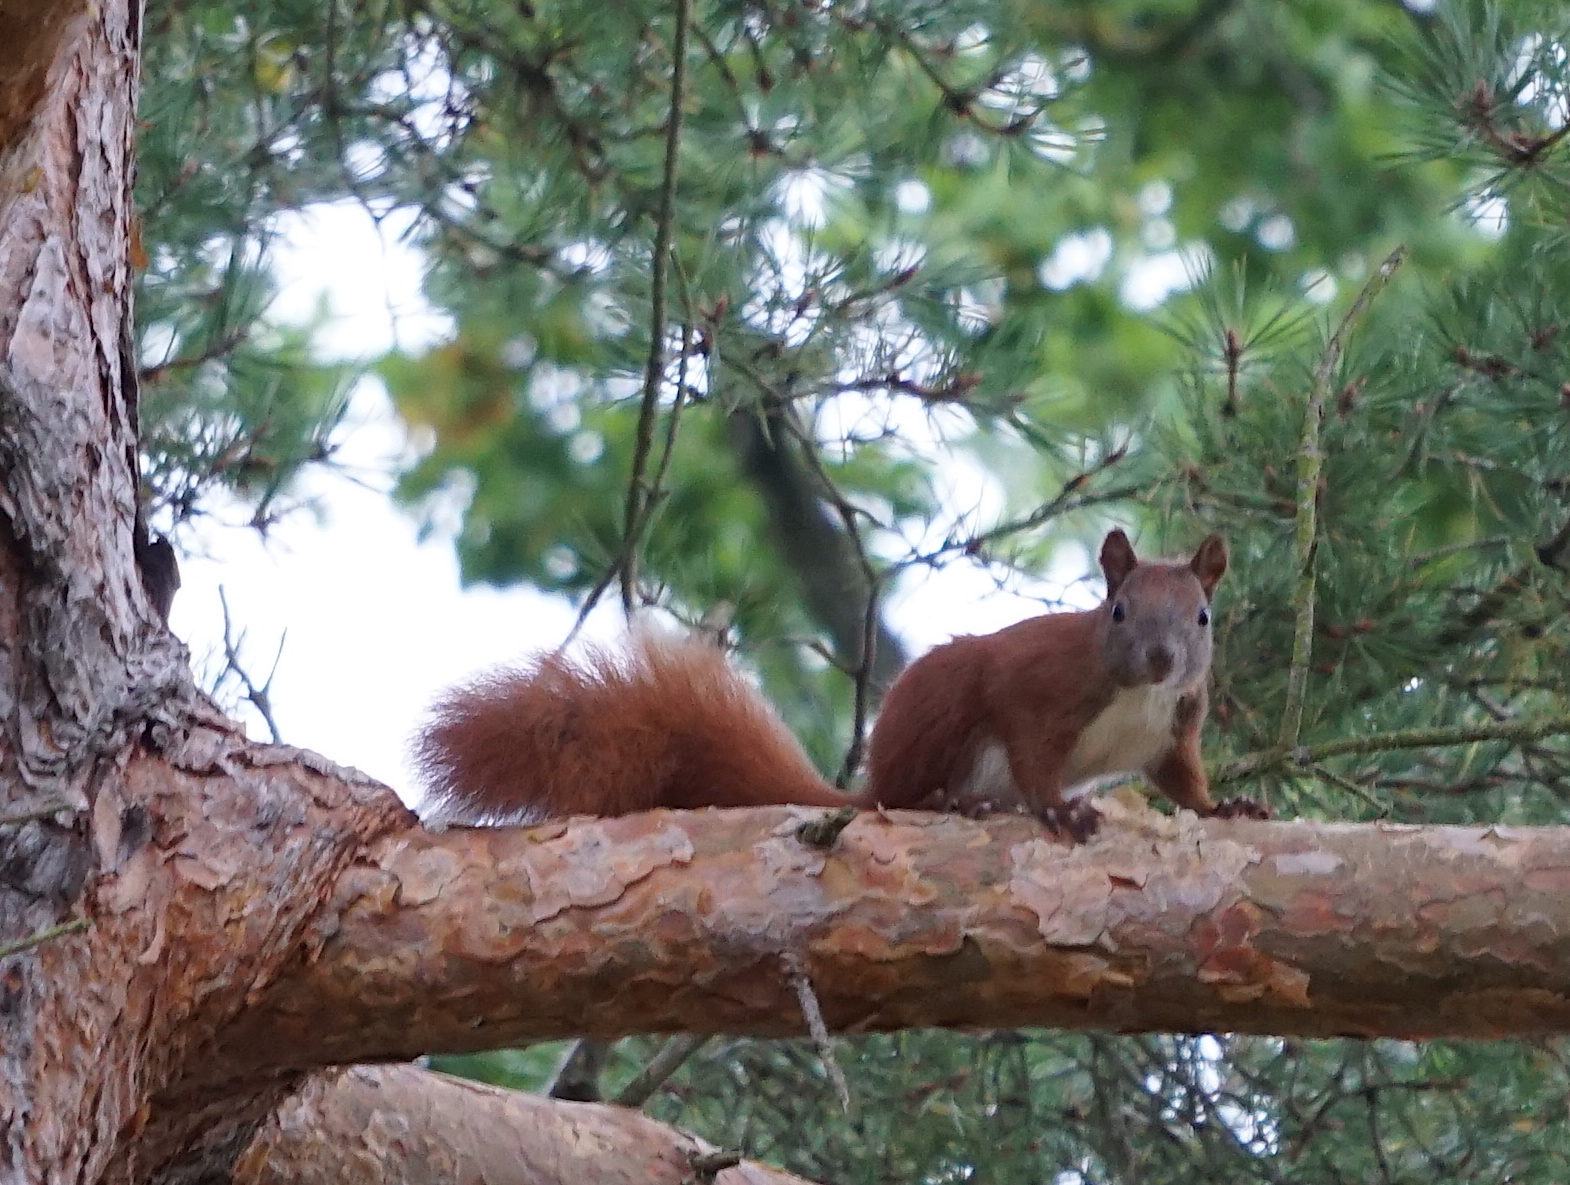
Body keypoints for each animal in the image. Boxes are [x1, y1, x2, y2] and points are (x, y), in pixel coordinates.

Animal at [414, 533, 1262, 828]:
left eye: (1202, 617)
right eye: (1118, 610)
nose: (1161, 659)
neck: (1137, 693)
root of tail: (871, 782)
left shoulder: (1174, 727)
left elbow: (1182, 780)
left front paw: (1226, 806)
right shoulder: (1036, 691)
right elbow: (1034, 755)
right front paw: (1056, 808)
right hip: (942, 709)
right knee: (910, 793)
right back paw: (951, 799)